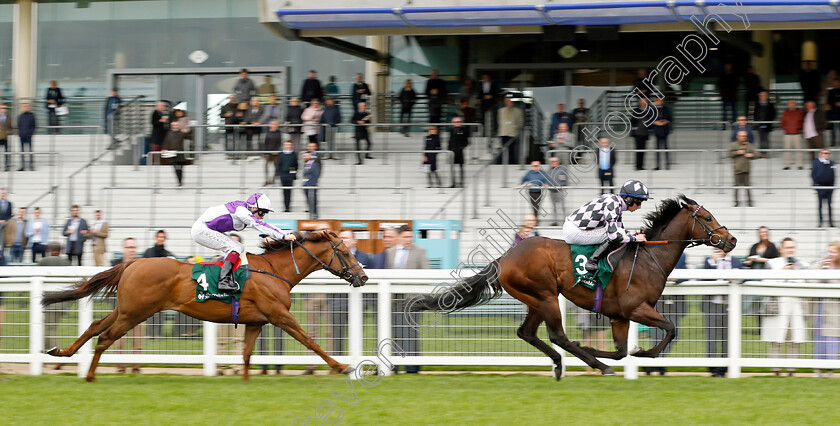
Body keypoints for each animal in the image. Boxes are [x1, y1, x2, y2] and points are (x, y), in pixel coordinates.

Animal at [41, 231, 364, 382]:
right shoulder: (279, 315)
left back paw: (62, 352)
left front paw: (246, 381)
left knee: (95, 326)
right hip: (136, 313)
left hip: (126, 309)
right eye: (347, 253)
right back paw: (90, 375)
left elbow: (246, 354)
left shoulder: (255, 321)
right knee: (106, 337)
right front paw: (343, 366)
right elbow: (310, 340)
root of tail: (132, 262)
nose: (363, 276)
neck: (275, 271)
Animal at [412, 195, 736, 378]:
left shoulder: (620, 316)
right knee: (557, 335)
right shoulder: (635, 308)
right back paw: (590, 363)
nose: (731, 240)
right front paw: (641, 354)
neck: (648, 258)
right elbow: (669, 328)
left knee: (527, 333)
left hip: (535, 299)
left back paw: (562, 364)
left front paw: (608, 350)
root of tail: (505, 257)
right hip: (545, 295)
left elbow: (621, 350)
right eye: (707, 218)